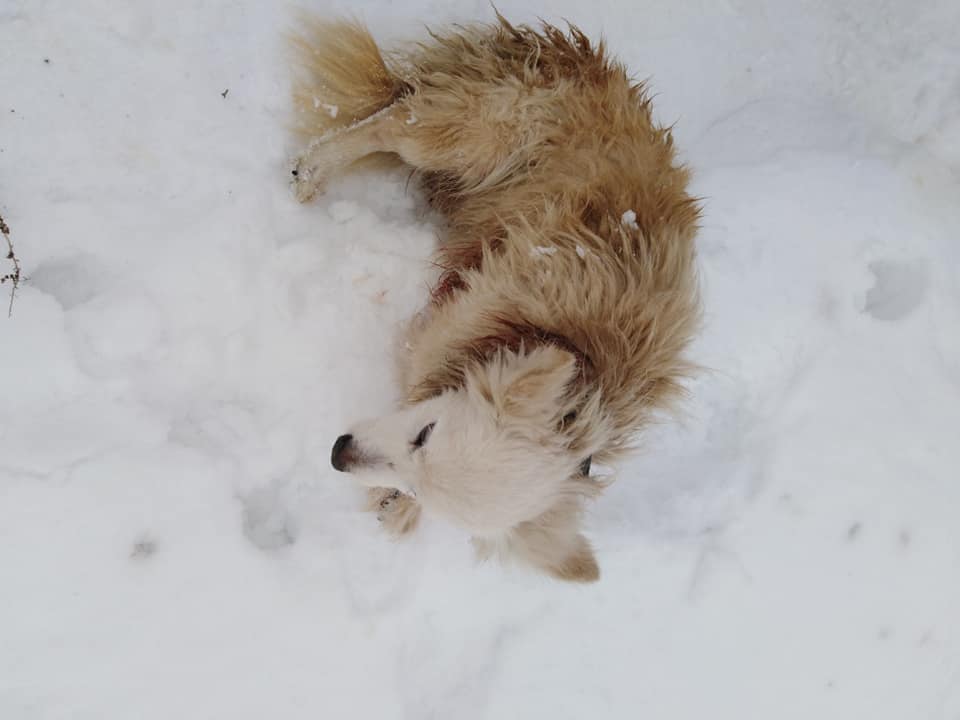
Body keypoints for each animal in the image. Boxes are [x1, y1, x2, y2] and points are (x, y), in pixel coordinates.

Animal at [288, 14, 700, 584]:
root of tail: (575, 56)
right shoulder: (437, 335)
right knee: (389, 121)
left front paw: (394, 506)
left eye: (420, 474)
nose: (337, 452)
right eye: (425, 433)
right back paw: (315, 167)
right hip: (478, 134)